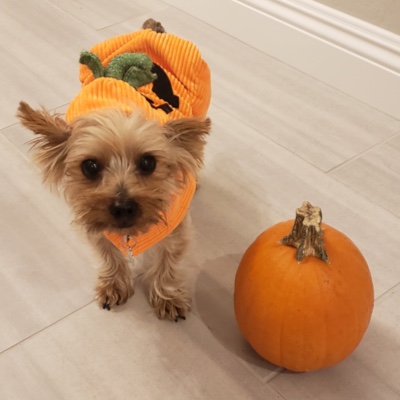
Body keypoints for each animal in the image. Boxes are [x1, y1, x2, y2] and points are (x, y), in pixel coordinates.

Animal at [17, 18, 211, 322]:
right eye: (90, 166)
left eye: (148, 163)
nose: (122, 208)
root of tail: (151, 29)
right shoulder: (94, 224)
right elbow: (108, 254)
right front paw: (114, 284)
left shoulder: (177, 227)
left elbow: (168, 259)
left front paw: (167, 296)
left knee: (195, 146)